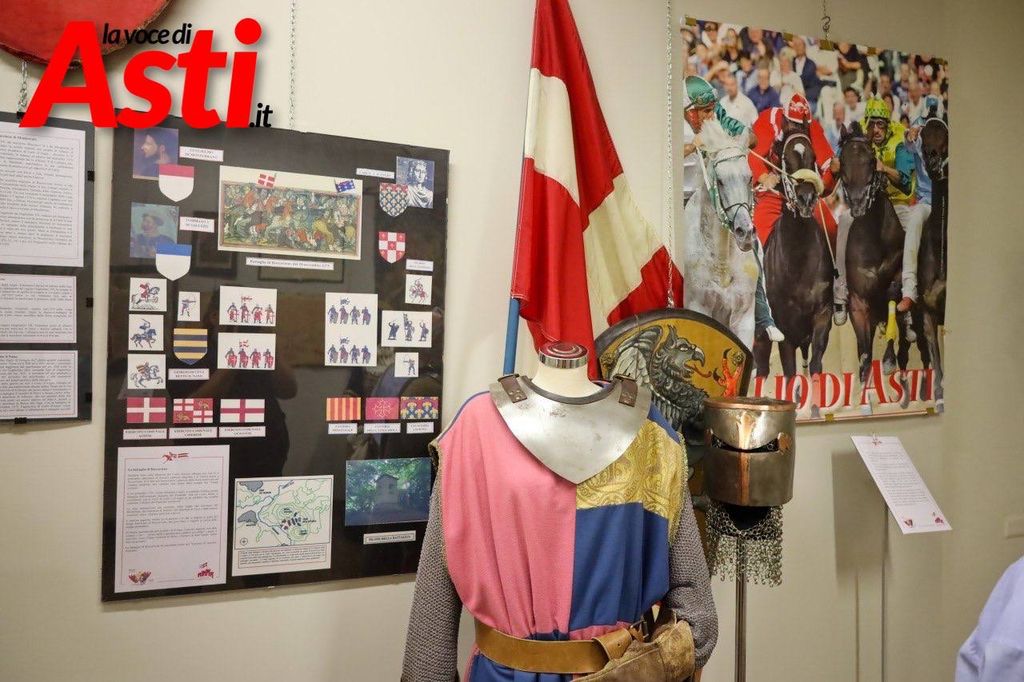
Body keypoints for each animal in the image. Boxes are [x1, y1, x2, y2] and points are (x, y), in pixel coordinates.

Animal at [754, 132, 834, 411]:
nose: (806, 198)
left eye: (812, 156)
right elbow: (788, 373)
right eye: (784, 157)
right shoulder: (784, 327)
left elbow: (817, 362)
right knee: (762, 368)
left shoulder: (822, 314)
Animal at [837, 124, 909, 387]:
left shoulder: (897, 269)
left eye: (871, 159)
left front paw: (888, 361)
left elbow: (893, 294)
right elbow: (864, 353)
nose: (858, 203)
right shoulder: (858, 300)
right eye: (842, 161)